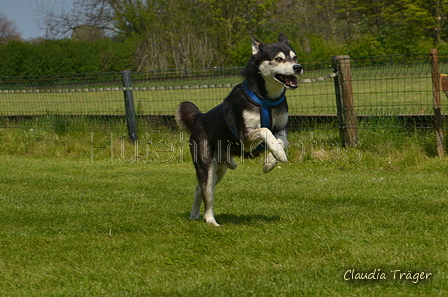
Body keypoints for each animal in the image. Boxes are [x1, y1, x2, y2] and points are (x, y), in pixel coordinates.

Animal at [177, 33, 302, 224]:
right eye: (278, 59)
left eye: (294, 57)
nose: (298, 67)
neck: (265, 99)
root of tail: (199, 117)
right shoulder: (245, 139)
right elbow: (265, 131)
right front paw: (277, 155)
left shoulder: (281, 127)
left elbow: (282, 141)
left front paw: (272, 160)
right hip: (206, 165)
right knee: (207, 192)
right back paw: (210, 220)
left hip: (219, 171)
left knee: (199, 188)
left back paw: (194, 215)